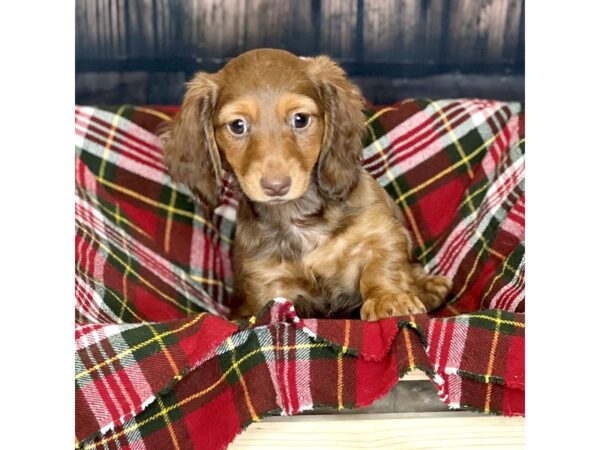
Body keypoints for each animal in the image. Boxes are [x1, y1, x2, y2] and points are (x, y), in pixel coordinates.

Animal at [161, 49, 450, 322]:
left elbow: (382, 267)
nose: (276, 186)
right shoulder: (267, 281)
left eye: (300, 119)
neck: (301, 218)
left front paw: (387, 299)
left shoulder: (382, 233)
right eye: (237, 126)